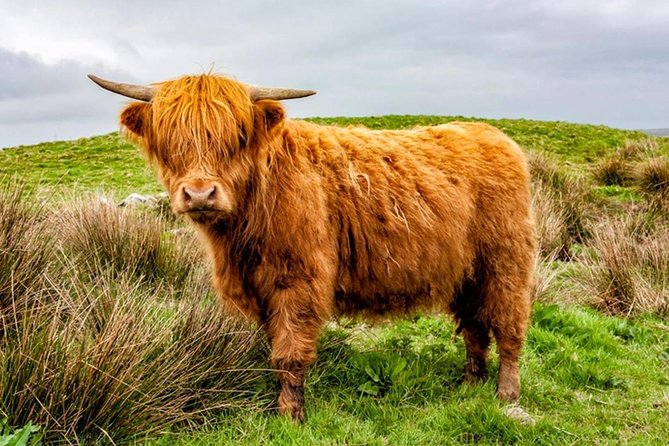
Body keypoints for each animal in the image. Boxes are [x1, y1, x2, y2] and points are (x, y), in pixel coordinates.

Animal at [90, 73, 536, 422]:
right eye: (169, 139)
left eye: (237, 137)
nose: (200, 193)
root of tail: (491, 134)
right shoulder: (260, 288)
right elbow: (274, 345)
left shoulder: (298, 278)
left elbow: (290, 351)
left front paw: (290, 414)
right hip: (466, 272)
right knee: (475, 327)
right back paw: (470, 385)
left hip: (506, 261)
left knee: (509, 326)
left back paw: (505, 394)